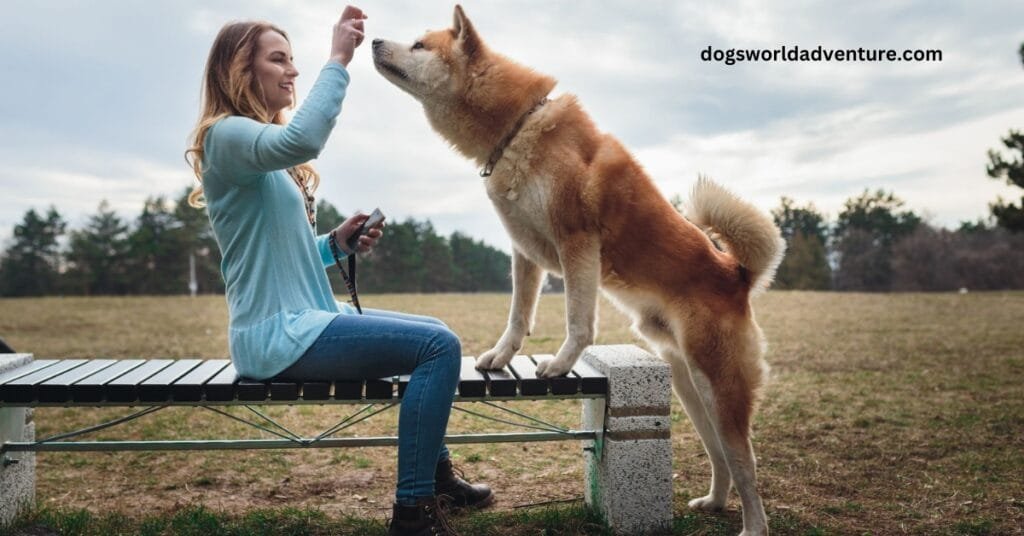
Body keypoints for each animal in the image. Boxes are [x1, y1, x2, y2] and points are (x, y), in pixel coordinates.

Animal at [374, 6, 782, 532]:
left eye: (420, 45)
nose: (373, 40)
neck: (515, 129)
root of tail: (736, 274)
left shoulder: (578, 243)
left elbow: (577, 320)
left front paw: (561, 363)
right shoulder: (524, 251)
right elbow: (518, 317)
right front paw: (500, 357)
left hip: (720, 387)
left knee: (745, 462)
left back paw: (753, 524)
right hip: (691, 386)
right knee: (720, 456)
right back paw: (713, 502)